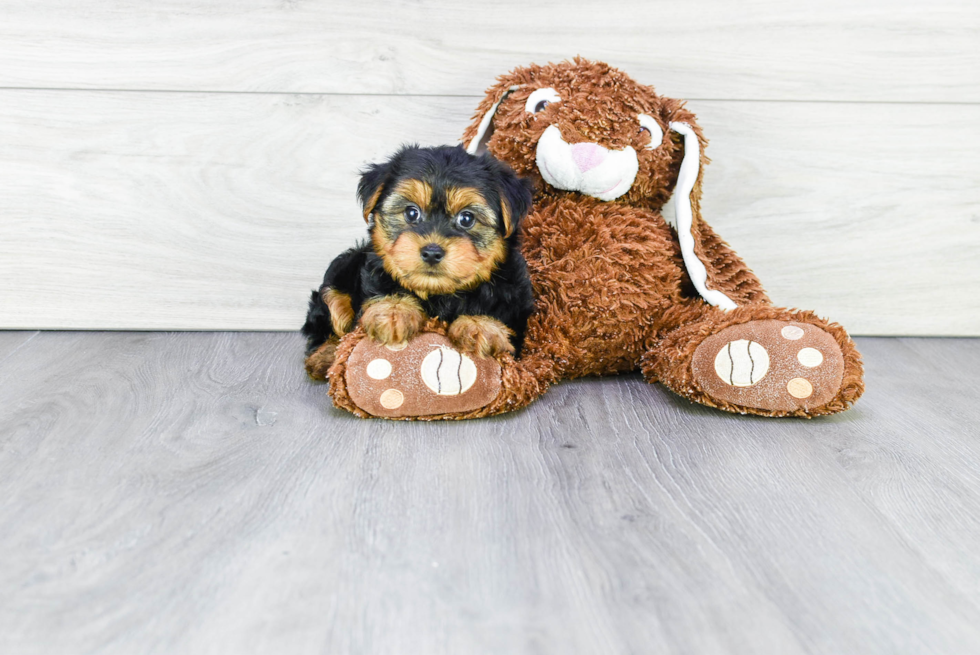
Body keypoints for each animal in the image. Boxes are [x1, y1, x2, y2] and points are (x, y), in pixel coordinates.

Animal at [304, 144, 536, 380]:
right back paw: (325, 356)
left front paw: (480, 325)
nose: (432, 252)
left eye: (467, 218)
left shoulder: (514, 299)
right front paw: (393, 309)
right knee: (331, 312)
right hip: (339, 274)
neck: (438, 294)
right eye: (411, 212)